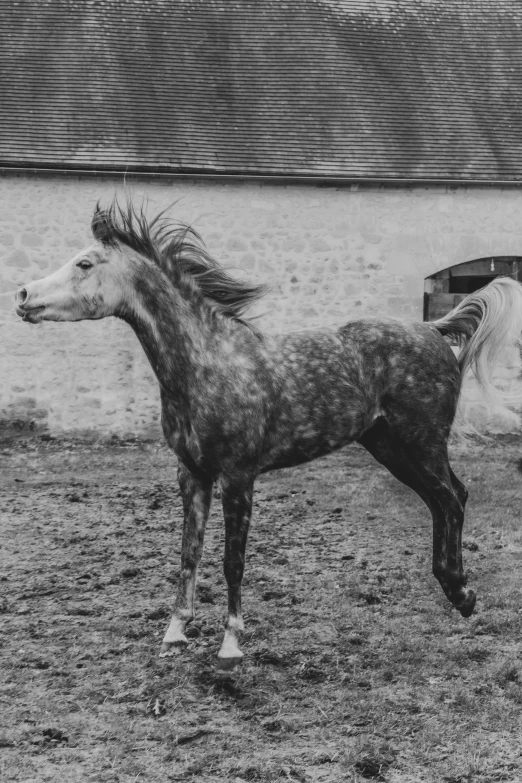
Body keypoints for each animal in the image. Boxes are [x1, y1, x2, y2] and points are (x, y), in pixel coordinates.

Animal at [14, 201, 520, 668]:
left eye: (84, 264)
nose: (22, 295)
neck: (210, 365)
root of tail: (435, 329)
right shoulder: (191, 474)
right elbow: (189, 552)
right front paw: (175, 634)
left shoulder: (238, 475)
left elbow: (232, 560)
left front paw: (230, 645)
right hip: (392, 449)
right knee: (447, 499)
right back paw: (455, 591)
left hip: (420, 444)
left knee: (451, 500)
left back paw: (462, 593)